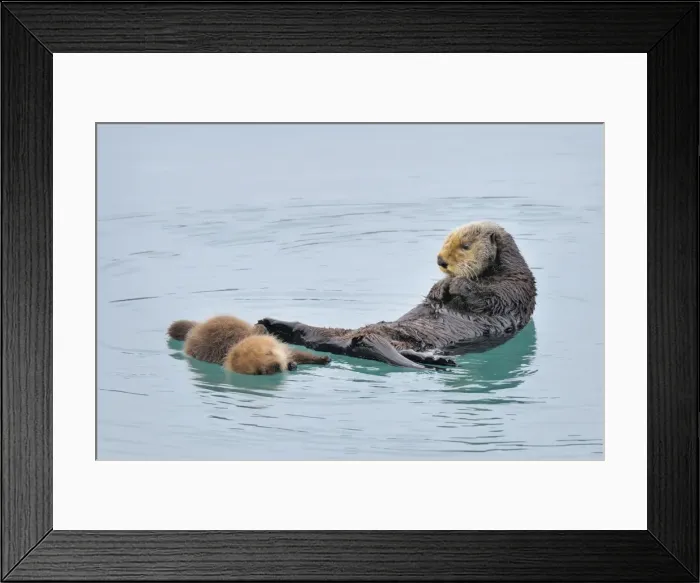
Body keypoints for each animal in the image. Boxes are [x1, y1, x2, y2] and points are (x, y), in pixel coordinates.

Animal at [167, 315, 330, 374]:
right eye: (259, 370)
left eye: (268, 353)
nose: (276, 366)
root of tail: (195, 329)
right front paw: (291, 365)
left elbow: (299, 353)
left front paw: (323, 359)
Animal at [258, 221, 536, 369]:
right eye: (446, 241)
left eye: (465, 246)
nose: (441, 260)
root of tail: (344, 342)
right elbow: (435, 297)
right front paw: (440, 287)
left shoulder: (514, 289)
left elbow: (489, 298)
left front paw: (456, 284)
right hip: (341, 334)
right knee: (310, 334)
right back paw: (275, 323)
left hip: (401, 341)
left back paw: (438, 360)